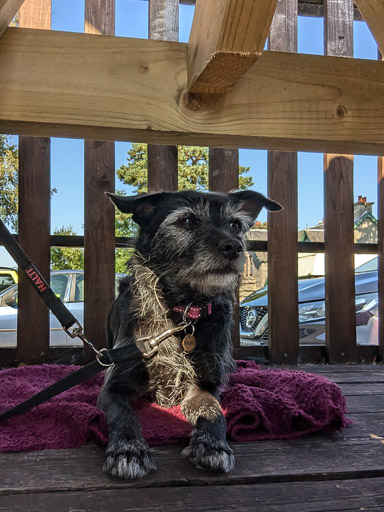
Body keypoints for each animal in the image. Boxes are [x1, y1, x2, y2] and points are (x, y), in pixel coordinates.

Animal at [97, 189, 280, 480]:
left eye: (235, 225)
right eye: (186, 221)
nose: (234, 247)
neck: (182, 312)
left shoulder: (206, 382)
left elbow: (212, 409)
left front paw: (213, 444)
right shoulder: (114, 385)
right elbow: (123, 413)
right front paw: (128, 449)